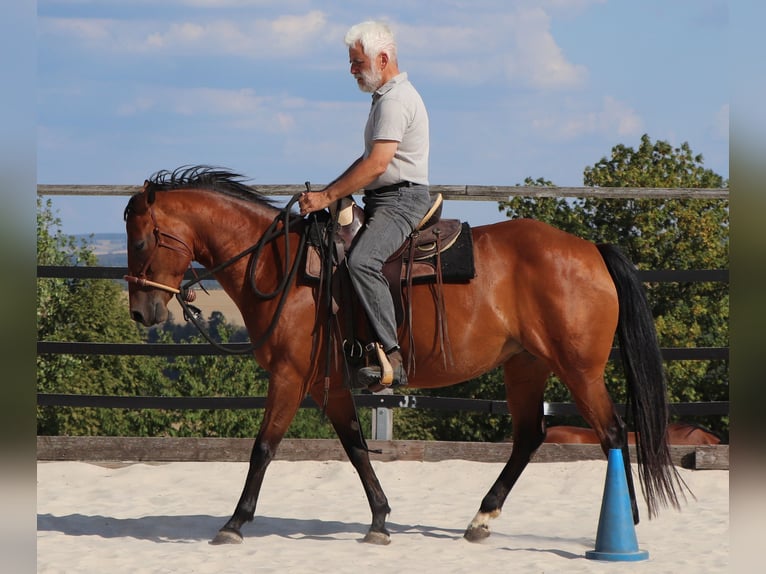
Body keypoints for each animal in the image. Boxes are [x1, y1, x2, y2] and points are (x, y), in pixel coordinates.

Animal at [124, 166, 686, 545]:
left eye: (145, 239)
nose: (141, 311)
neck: (281, 267)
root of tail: (591, 250)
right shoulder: (329, 384)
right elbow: (355, 448)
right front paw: (378, 519)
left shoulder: (290, 376)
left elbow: (263, 447)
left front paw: (235, 522)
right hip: (525, 365)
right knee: (530, 436)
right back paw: (482, 519)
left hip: (579, 369)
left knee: (612, 432)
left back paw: (625, 524)